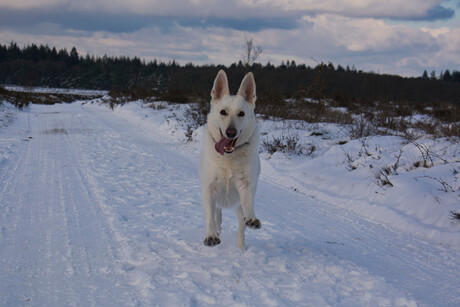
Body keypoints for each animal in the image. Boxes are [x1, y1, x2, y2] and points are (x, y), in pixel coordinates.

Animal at [199, 70, 260, 250]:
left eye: (241, 114)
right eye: (223, 112)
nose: (231, 132)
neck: (229, 158)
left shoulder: (245, 185)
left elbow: (248, 204)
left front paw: (252, 218)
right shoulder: (209, 190)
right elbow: (210, 218)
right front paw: (211, 236)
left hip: (237, 207)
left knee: (241, 226)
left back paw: (241, 244)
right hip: (218, 203)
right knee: (217, 217)